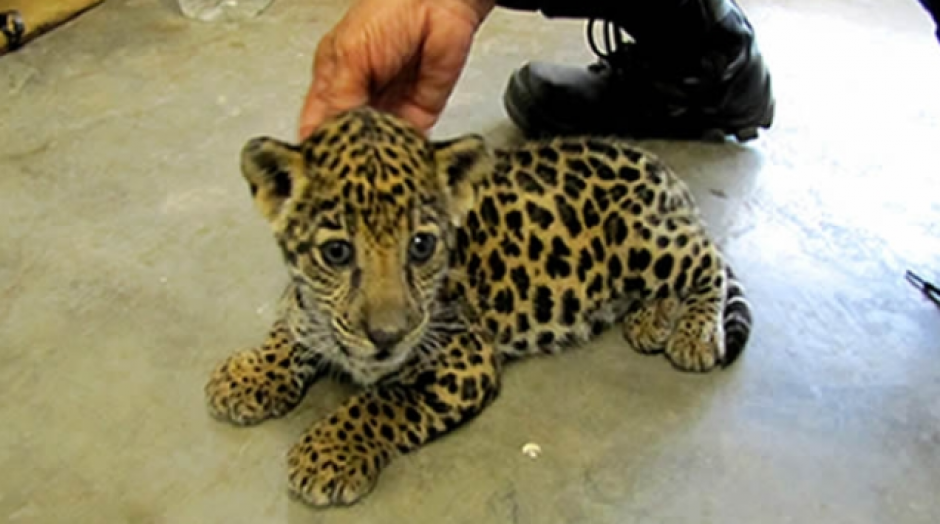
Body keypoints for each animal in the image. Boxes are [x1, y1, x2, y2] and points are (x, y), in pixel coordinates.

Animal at [204, 106, 753, 508]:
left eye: (421, 246)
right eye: (337, 252)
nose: (388, 336)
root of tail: (655, 164)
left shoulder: (465, 358)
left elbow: (382, 401)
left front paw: (328, 452)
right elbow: (293, 324)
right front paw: (248, 375)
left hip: (644, 240)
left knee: (711, 260)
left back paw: (694, 336)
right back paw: (650, 320)